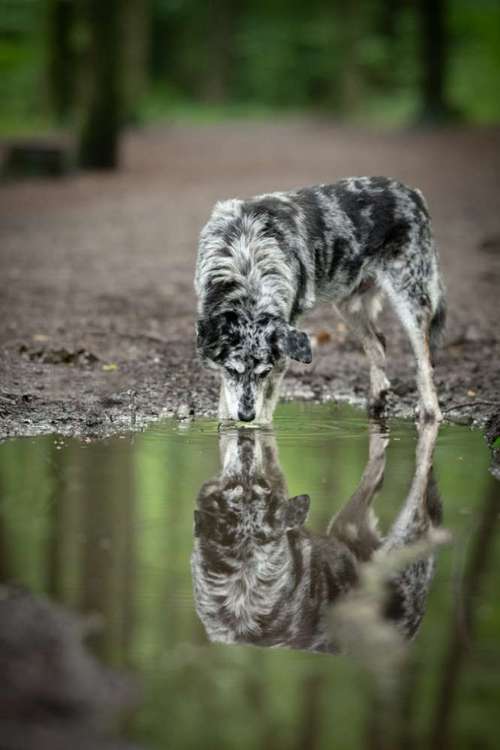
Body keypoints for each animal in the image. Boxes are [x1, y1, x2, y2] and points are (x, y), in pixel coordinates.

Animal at [194, 177, 446, 424]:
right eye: (232, 370)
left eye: (263, 372)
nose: (246, 416)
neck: (246, 258)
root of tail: (412, 192)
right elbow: (226, 403)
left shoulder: (281, 356)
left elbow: (264, 413)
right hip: (348, 307)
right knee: (378, 344)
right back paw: (377, 401)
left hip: (410, 303)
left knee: (425, 364)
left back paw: (429, 413)